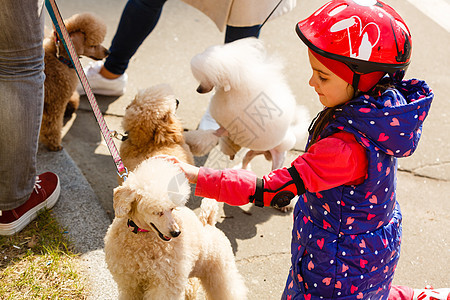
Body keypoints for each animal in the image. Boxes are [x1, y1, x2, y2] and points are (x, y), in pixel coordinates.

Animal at [41, 12, 110, 151]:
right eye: (93, 45)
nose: (108, 52)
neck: (60, 58)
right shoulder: (56, 103)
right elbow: (53, 126)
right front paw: (54, 144)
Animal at [103, 158, 248, 298]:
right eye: (157, 212)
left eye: (172, 209)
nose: (176, 232)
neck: (142, 235)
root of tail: (208, 224)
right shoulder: (130, 282)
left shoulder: (165, 284)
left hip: (221, 272)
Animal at [188, 37, 308, 171]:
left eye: (209, 79)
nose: (198, 90)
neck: (233, 91)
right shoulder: (223, 129)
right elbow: (206, 136)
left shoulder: (228, 129)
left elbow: (208, 137)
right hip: (252, 153)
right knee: (246, 160)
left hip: (278, 161)